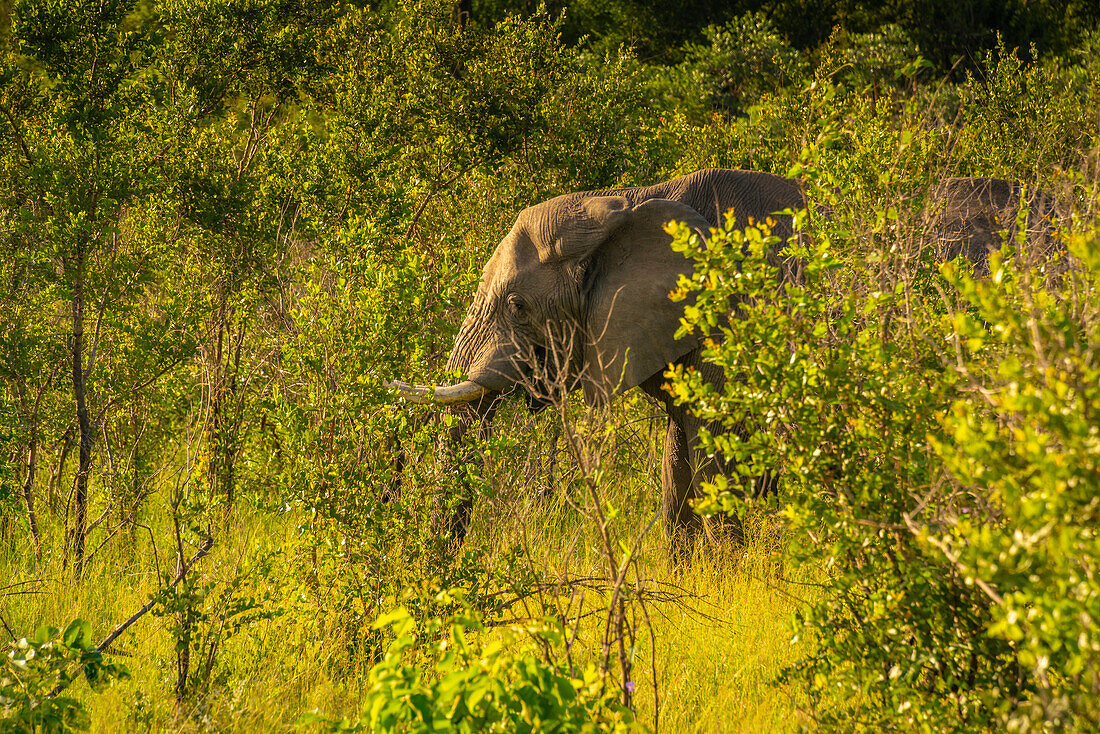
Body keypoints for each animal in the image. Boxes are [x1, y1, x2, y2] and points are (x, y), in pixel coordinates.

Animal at [389, 169, 809, 554]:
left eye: (517, 306)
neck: (629, 200)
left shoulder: (726, 326)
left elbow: (717, 462)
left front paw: (729, 573)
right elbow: (676, 465)